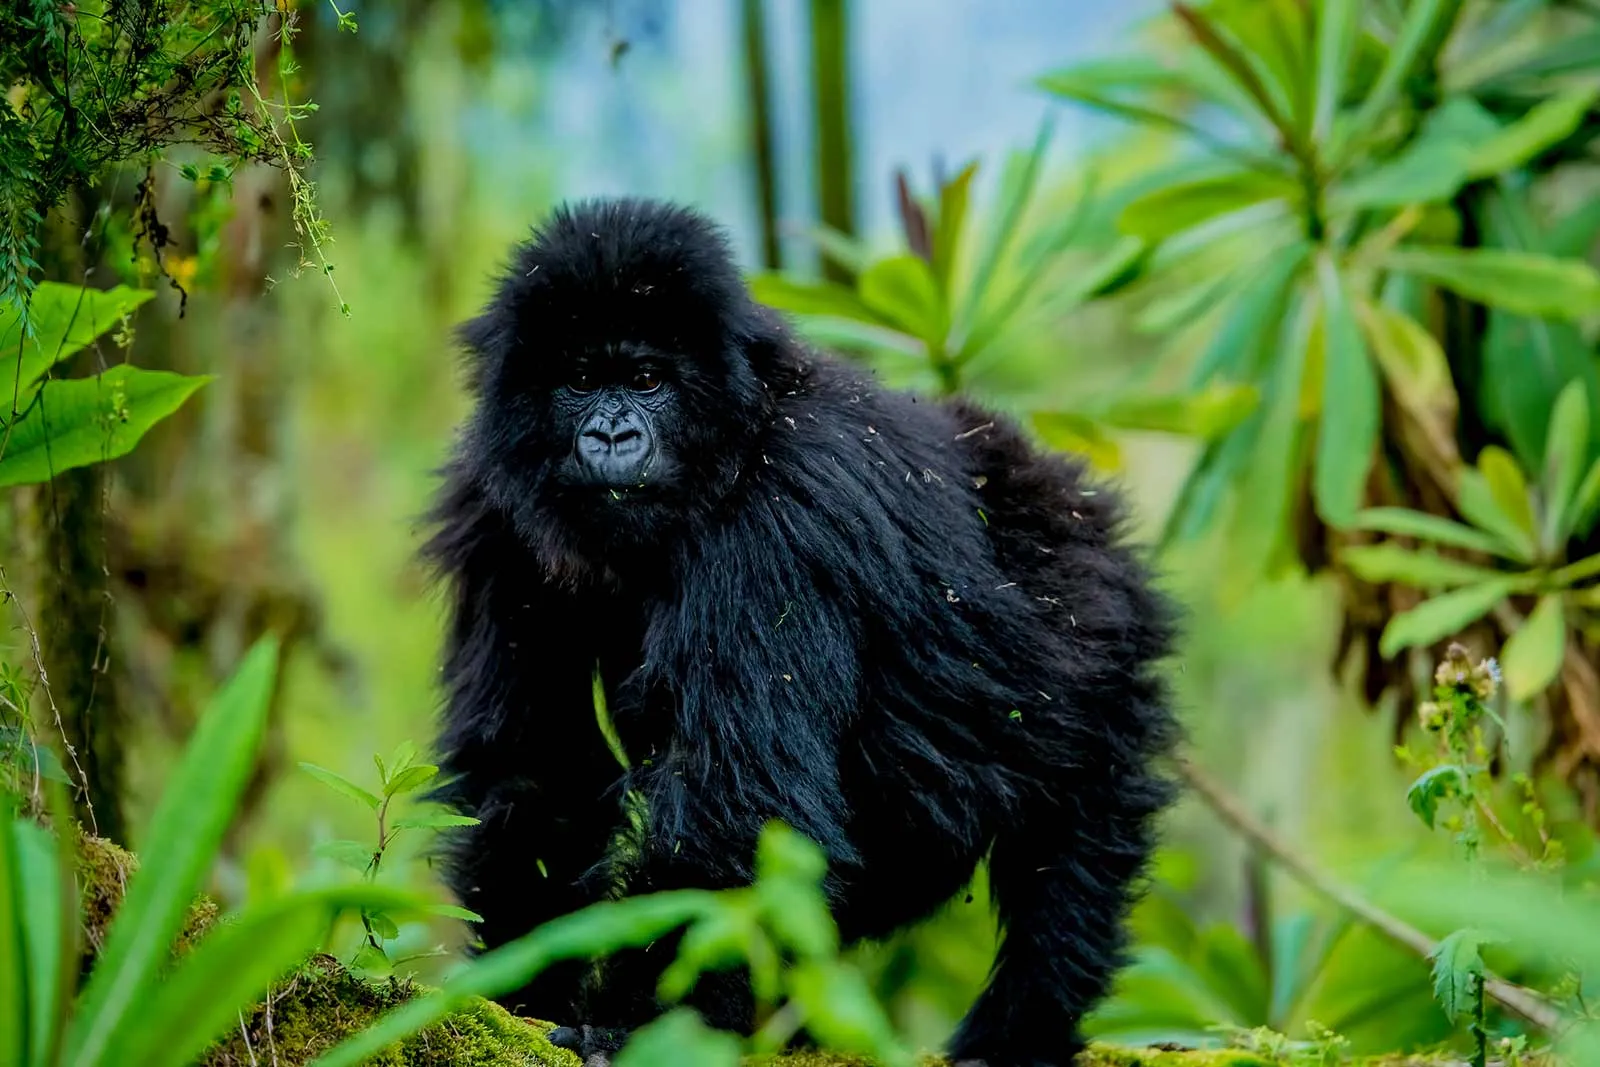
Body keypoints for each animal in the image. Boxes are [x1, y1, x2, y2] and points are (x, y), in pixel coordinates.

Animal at [424, 196, 1180, 1067]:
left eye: (647, 379)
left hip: (1097, 634)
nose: (612, 437)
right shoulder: (491, 509)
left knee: (1071, 852)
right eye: (581, 380)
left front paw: (639, 1025)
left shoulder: (781, 514)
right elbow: (531, 765)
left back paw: (1020, 1026)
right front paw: (527, 986)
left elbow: (738, 803)